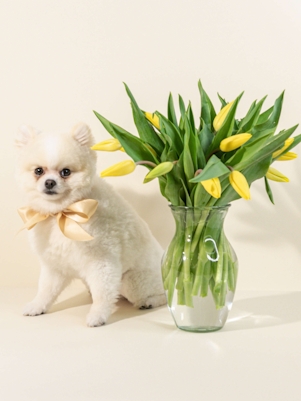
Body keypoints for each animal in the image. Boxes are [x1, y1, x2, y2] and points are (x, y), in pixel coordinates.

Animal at [15, 121, 165, 324]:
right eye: (38, 171)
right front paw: (38, 306)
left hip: (131, 281)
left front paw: (98, 315)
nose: (49, 182)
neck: (62, 213)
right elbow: (46, 289)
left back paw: (150, 301)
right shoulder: (55, 264)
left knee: (162, 295)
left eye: (66, 172)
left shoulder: (102, 261)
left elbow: (102, 292)